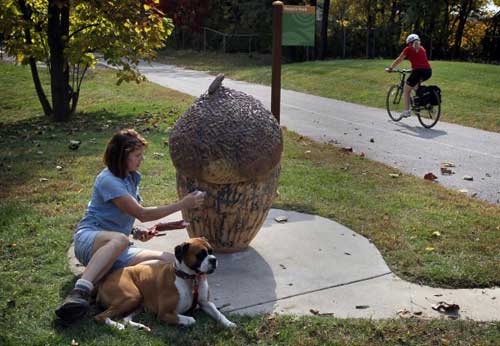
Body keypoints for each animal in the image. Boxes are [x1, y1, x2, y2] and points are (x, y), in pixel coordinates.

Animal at [94, 238, 235, 330]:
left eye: (211, 251)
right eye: (200, 255)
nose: (213, 260)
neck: (190, 278)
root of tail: (102, 282)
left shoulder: (206, 303)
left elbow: (219, 314)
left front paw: (229, 324)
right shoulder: (164, 314)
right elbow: (191, 319)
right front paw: (187, 321)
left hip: (137, 303)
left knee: (125, 318)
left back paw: (138, 326)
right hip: (132, 297)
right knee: (100, 316)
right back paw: (116, 326)